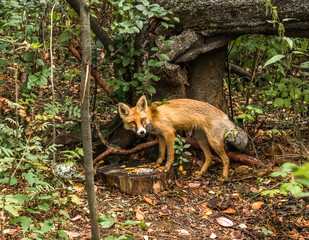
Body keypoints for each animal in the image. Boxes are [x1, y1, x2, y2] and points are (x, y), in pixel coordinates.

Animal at [118, 95, 248, 178]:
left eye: (142, 120)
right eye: (133, 122)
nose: (141, 132)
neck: (151, 116)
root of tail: (224, 115)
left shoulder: (169, 132)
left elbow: (170, 154)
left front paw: (166, 168)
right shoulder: (160, 136)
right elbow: (161, 152)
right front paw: (157, 164)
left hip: (214, 141)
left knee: (226, 159)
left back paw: (224, 177)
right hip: (200, 139)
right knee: (210, 157)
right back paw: (200, 173)